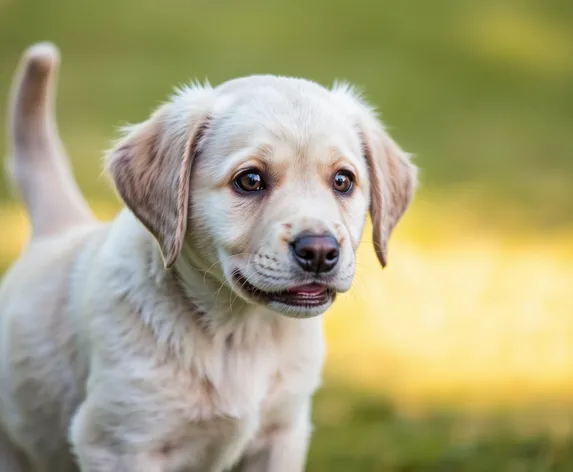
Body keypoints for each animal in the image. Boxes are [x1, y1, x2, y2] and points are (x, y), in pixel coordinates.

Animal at [0, 43, 414, 472]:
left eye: (343, 180)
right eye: (250, 180)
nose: (319, 251)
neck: (239, 334)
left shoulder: (282, 435)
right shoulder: (122, 442)